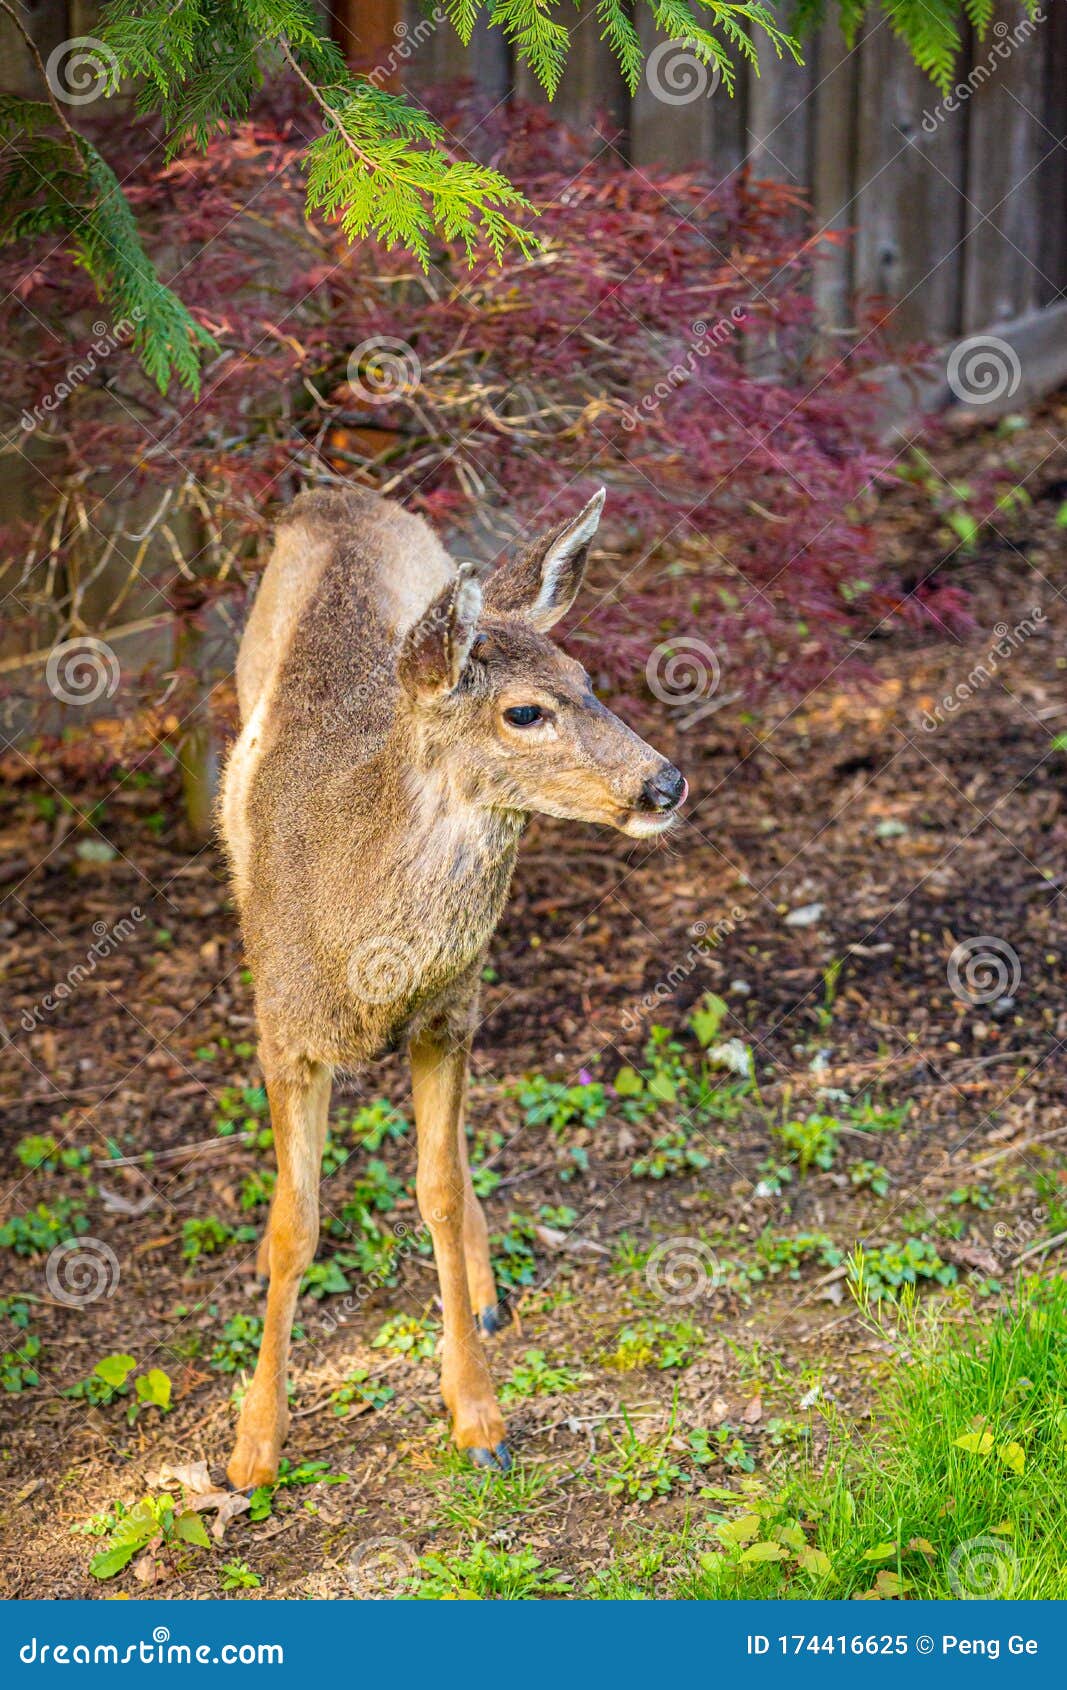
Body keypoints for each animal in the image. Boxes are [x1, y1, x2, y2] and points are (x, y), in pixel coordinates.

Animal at [218, 485, 687, 1487]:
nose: (664, 782)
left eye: (585, 676)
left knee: (458, 1156)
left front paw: (477, 1414)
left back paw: (482, 1292)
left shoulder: (445, 1016)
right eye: (524, 713)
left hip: (469, 997)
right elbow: (290, 1228)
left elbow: (432, 1187)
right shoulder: (281, 1032)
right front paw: (253, 1447)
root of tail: (332, 496)